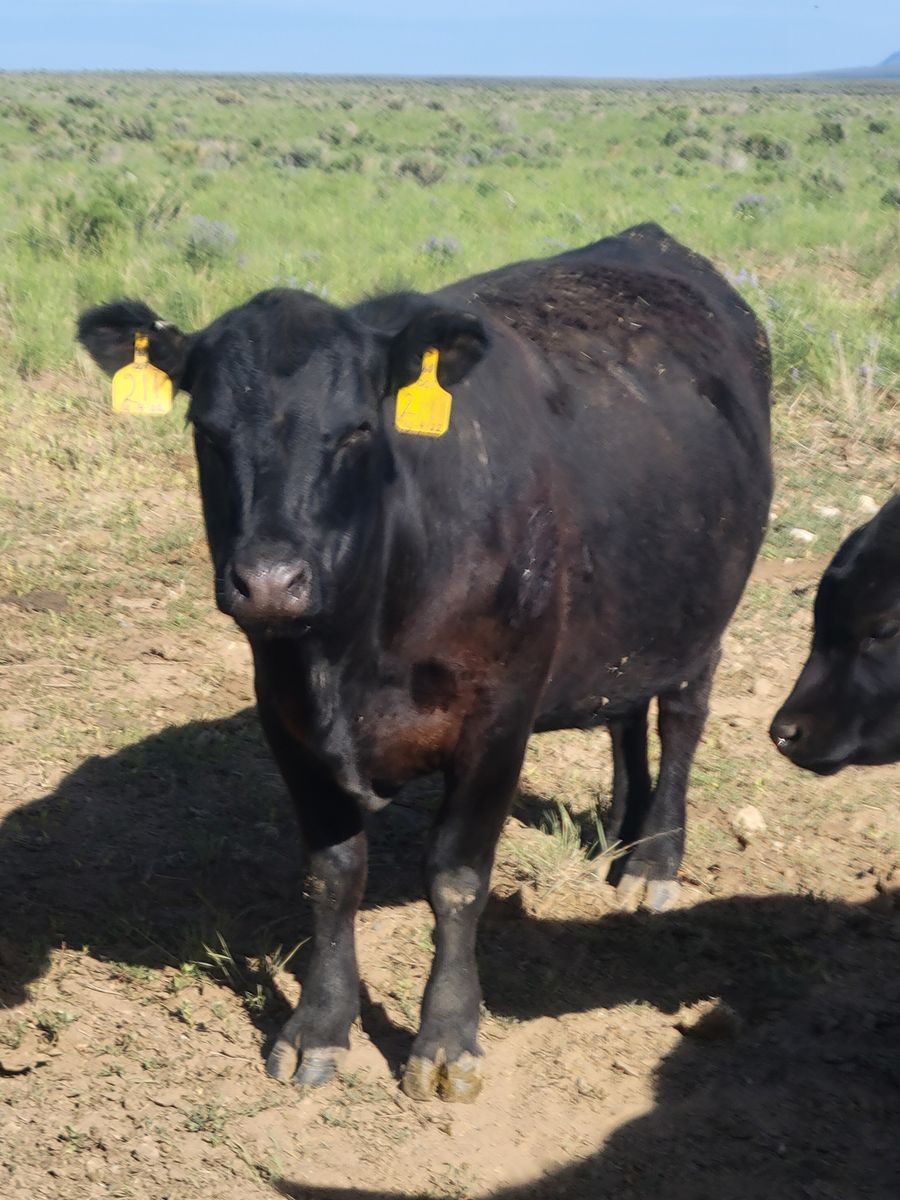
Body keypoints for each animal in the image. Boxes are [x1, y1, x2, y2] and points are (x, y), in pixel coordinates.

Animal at [77, 222, 772, 1103]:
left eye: (356, 431)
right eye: (206, 431)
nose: (269, 581)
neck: (353, 649)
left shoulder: (499, 716)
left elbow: (456, 878)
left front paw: (445, 1039)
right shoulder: (286, 716)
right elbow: (333, 872)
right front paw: (318, 1027)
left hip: (706, 614)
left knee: (682, 717)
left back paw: (654, 860)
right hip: (625, 617)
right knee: (624, 713)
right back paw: (618, 832)